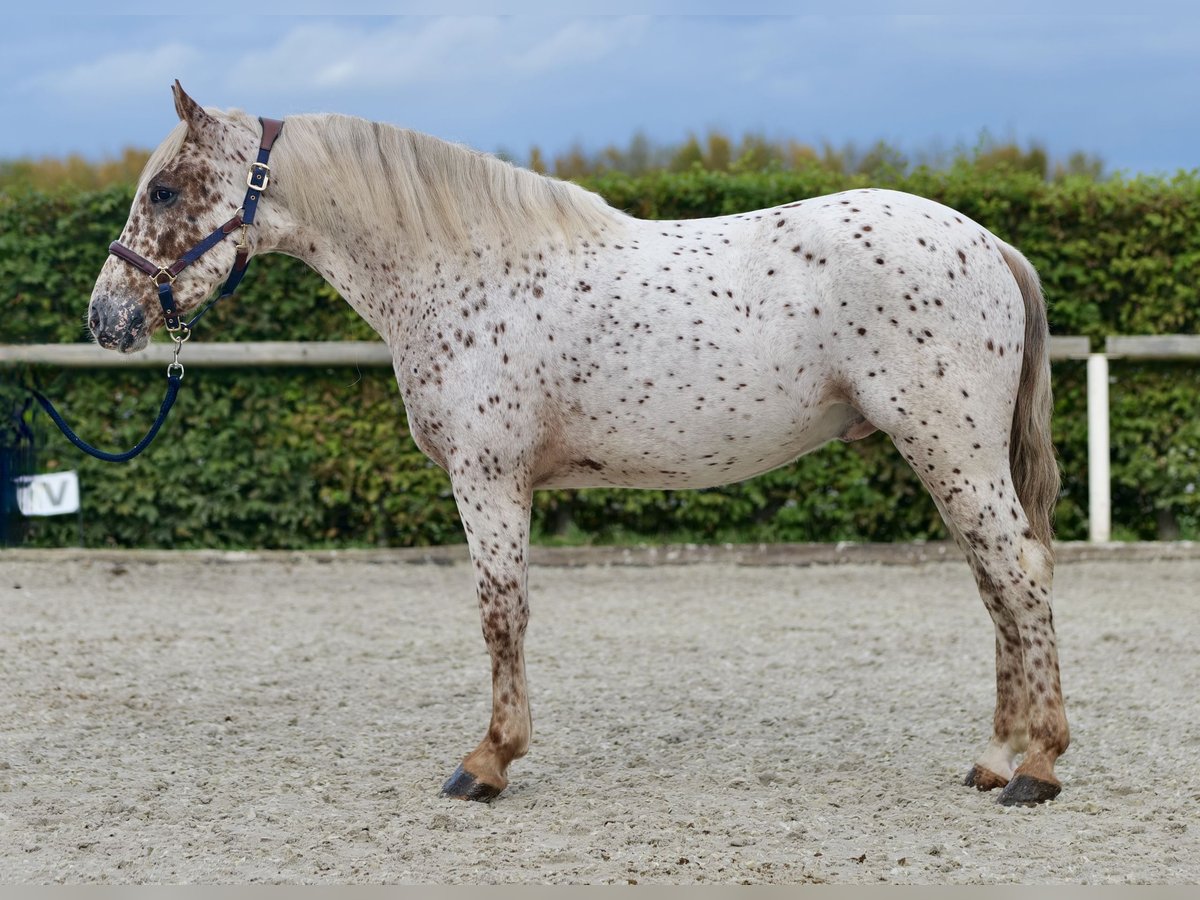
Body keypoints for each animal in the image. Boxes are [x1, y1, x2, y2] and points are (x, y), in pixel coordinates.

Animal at [91, 84, 1070, 811]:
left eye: (165, 191)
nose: (106, 318)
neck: (463, 269)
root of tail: (990, 243)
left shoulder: (488, 478)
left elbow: (501, 612)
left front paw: (488, 762)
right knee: (996, 586)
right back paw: (994, 756)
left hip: (950, 450)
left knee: (1018, 575)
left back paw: (1037, 766)